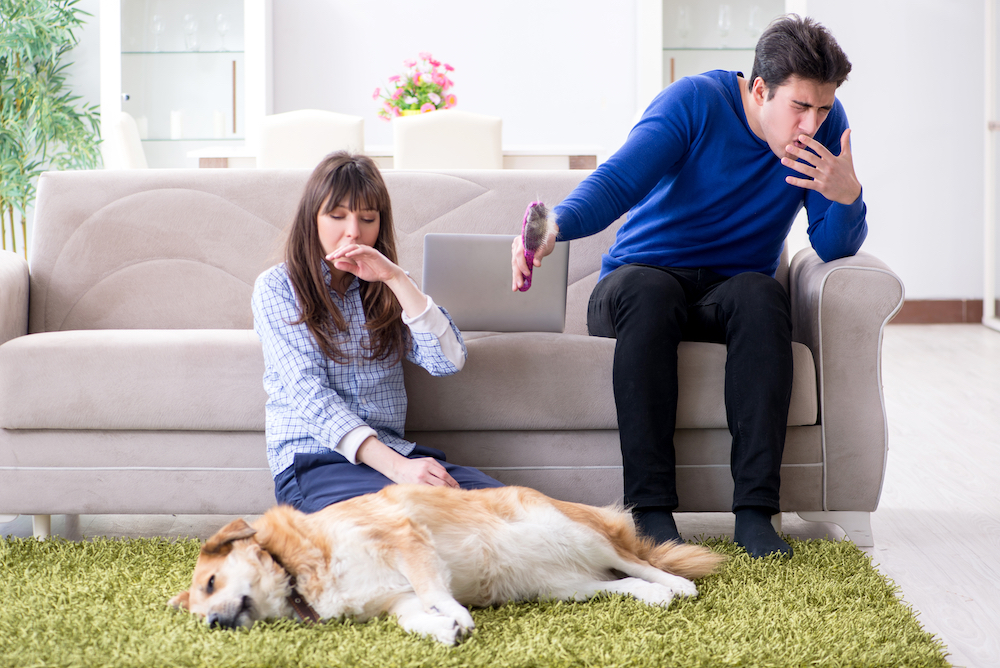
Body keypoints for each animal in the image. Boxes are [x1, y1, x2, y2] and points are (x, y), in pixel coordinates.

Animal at [170, 482, 720, 644]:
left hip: (574, 532)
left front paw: (454, 615)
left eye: (212, 583)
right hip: (563, 587)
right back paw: (653, 595)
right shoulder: (396, 600)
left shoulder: (408, 541)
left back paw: (674, 583)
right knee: (616, 582)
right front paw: (444, 631)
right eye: (199, 611)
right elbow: (416, 617)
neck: (296, 569)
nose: (214, 623)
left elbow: (436, 591)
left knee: (635, 560)